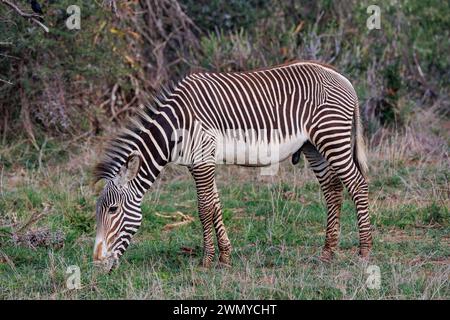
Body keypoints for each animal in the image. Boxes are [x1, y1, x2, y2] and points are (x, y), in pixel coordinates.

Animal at [93, 60, 370, 270]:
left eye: (113, 210)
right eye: (99, 211)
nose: (97, 264)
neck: (175, 127)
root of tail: (343, 78)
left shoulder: (202, 159)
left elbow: (204, 209)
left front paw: (206, 261)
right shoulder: (200, 162)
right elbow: (215, 206)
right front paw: (225, 257)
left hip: (331, 136)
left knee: (358, 185)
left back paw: (364, 251)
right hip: (314, 146)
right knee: (333, 190)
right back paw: (327, 253)